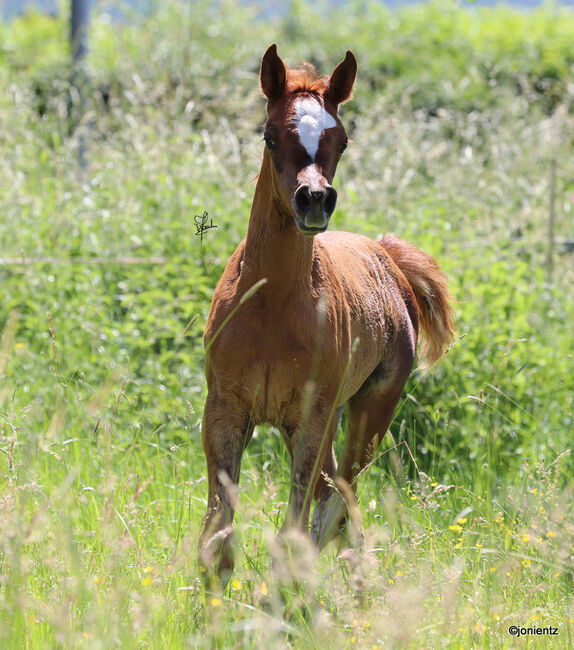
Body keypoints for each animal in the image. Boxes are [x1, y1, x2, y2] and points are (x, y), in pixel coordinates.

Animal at [200, 44, 456, 584]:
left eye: (341, 141)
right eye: (270, 135)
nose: (314, 199)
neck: (272, 310)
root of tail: (386, 255)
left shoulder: (309, 419)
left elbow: (296, 526)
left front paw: (277, 593)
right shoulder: (225, 411)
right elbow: (217, 538)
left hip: (369, 411)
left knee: (340, 495)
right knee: (335, 497)